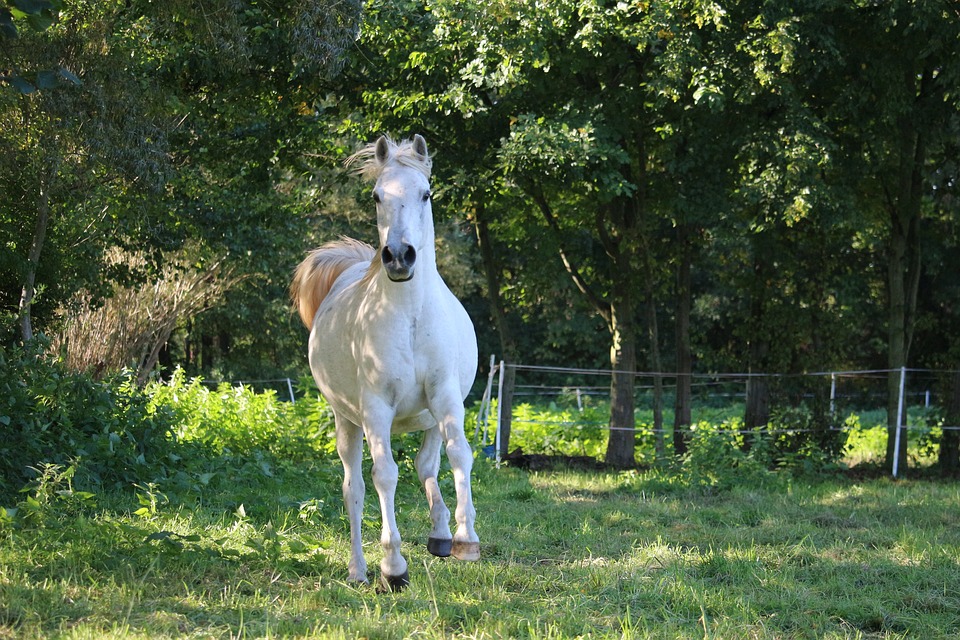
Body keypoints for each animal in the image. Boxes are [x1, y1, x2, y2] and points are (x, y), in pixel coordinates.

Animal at [286, 134, 478, 592]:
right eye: (376, 196)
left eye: (425, 193)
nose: (399, 257)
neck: (409, 317)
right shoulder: (376, 409)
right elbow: (384, 476)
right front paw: (394, 566)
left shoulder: (445, 397)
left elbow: (459, 455)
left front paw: (465, 538)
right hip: (347, 421)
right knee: (353, 488)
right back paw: (358, 569)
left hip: (427, 418)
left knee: (427, 465)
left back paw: (441, 535)